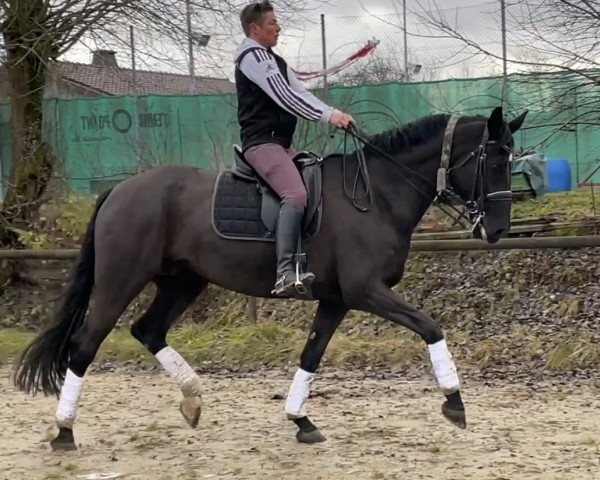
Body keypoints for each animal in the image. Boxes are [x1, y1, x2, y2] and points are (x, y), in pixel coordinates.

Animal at [10, 106, 524, 450]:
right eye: (494, 160)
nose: (498, 230)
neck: (377, 195)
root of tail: (121, 188)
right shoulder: (366, 291)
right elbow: (430, 327)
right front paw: (454, 402)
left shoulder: (337, 299)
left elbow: (311, 355)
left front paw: (301, 420)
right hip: (120, 280)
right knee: (85, 344)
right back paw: (64, 431)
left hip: (183, 282)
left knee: (148, 330)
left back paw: (192, 400)